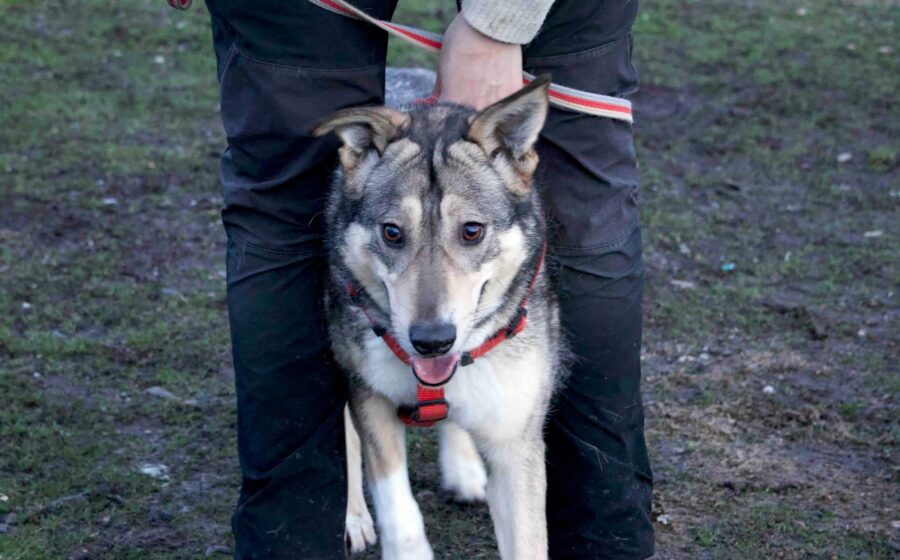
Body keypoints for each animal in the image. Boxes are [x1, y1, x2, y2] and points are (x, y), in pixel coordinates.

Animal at [314, 76, 561, 560]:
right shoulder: (368, 392)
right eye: (392, 232)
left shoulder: (517, 441)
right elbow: (395, 500)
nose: (432, 340)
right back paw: (354, 517)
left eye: (472, 231)